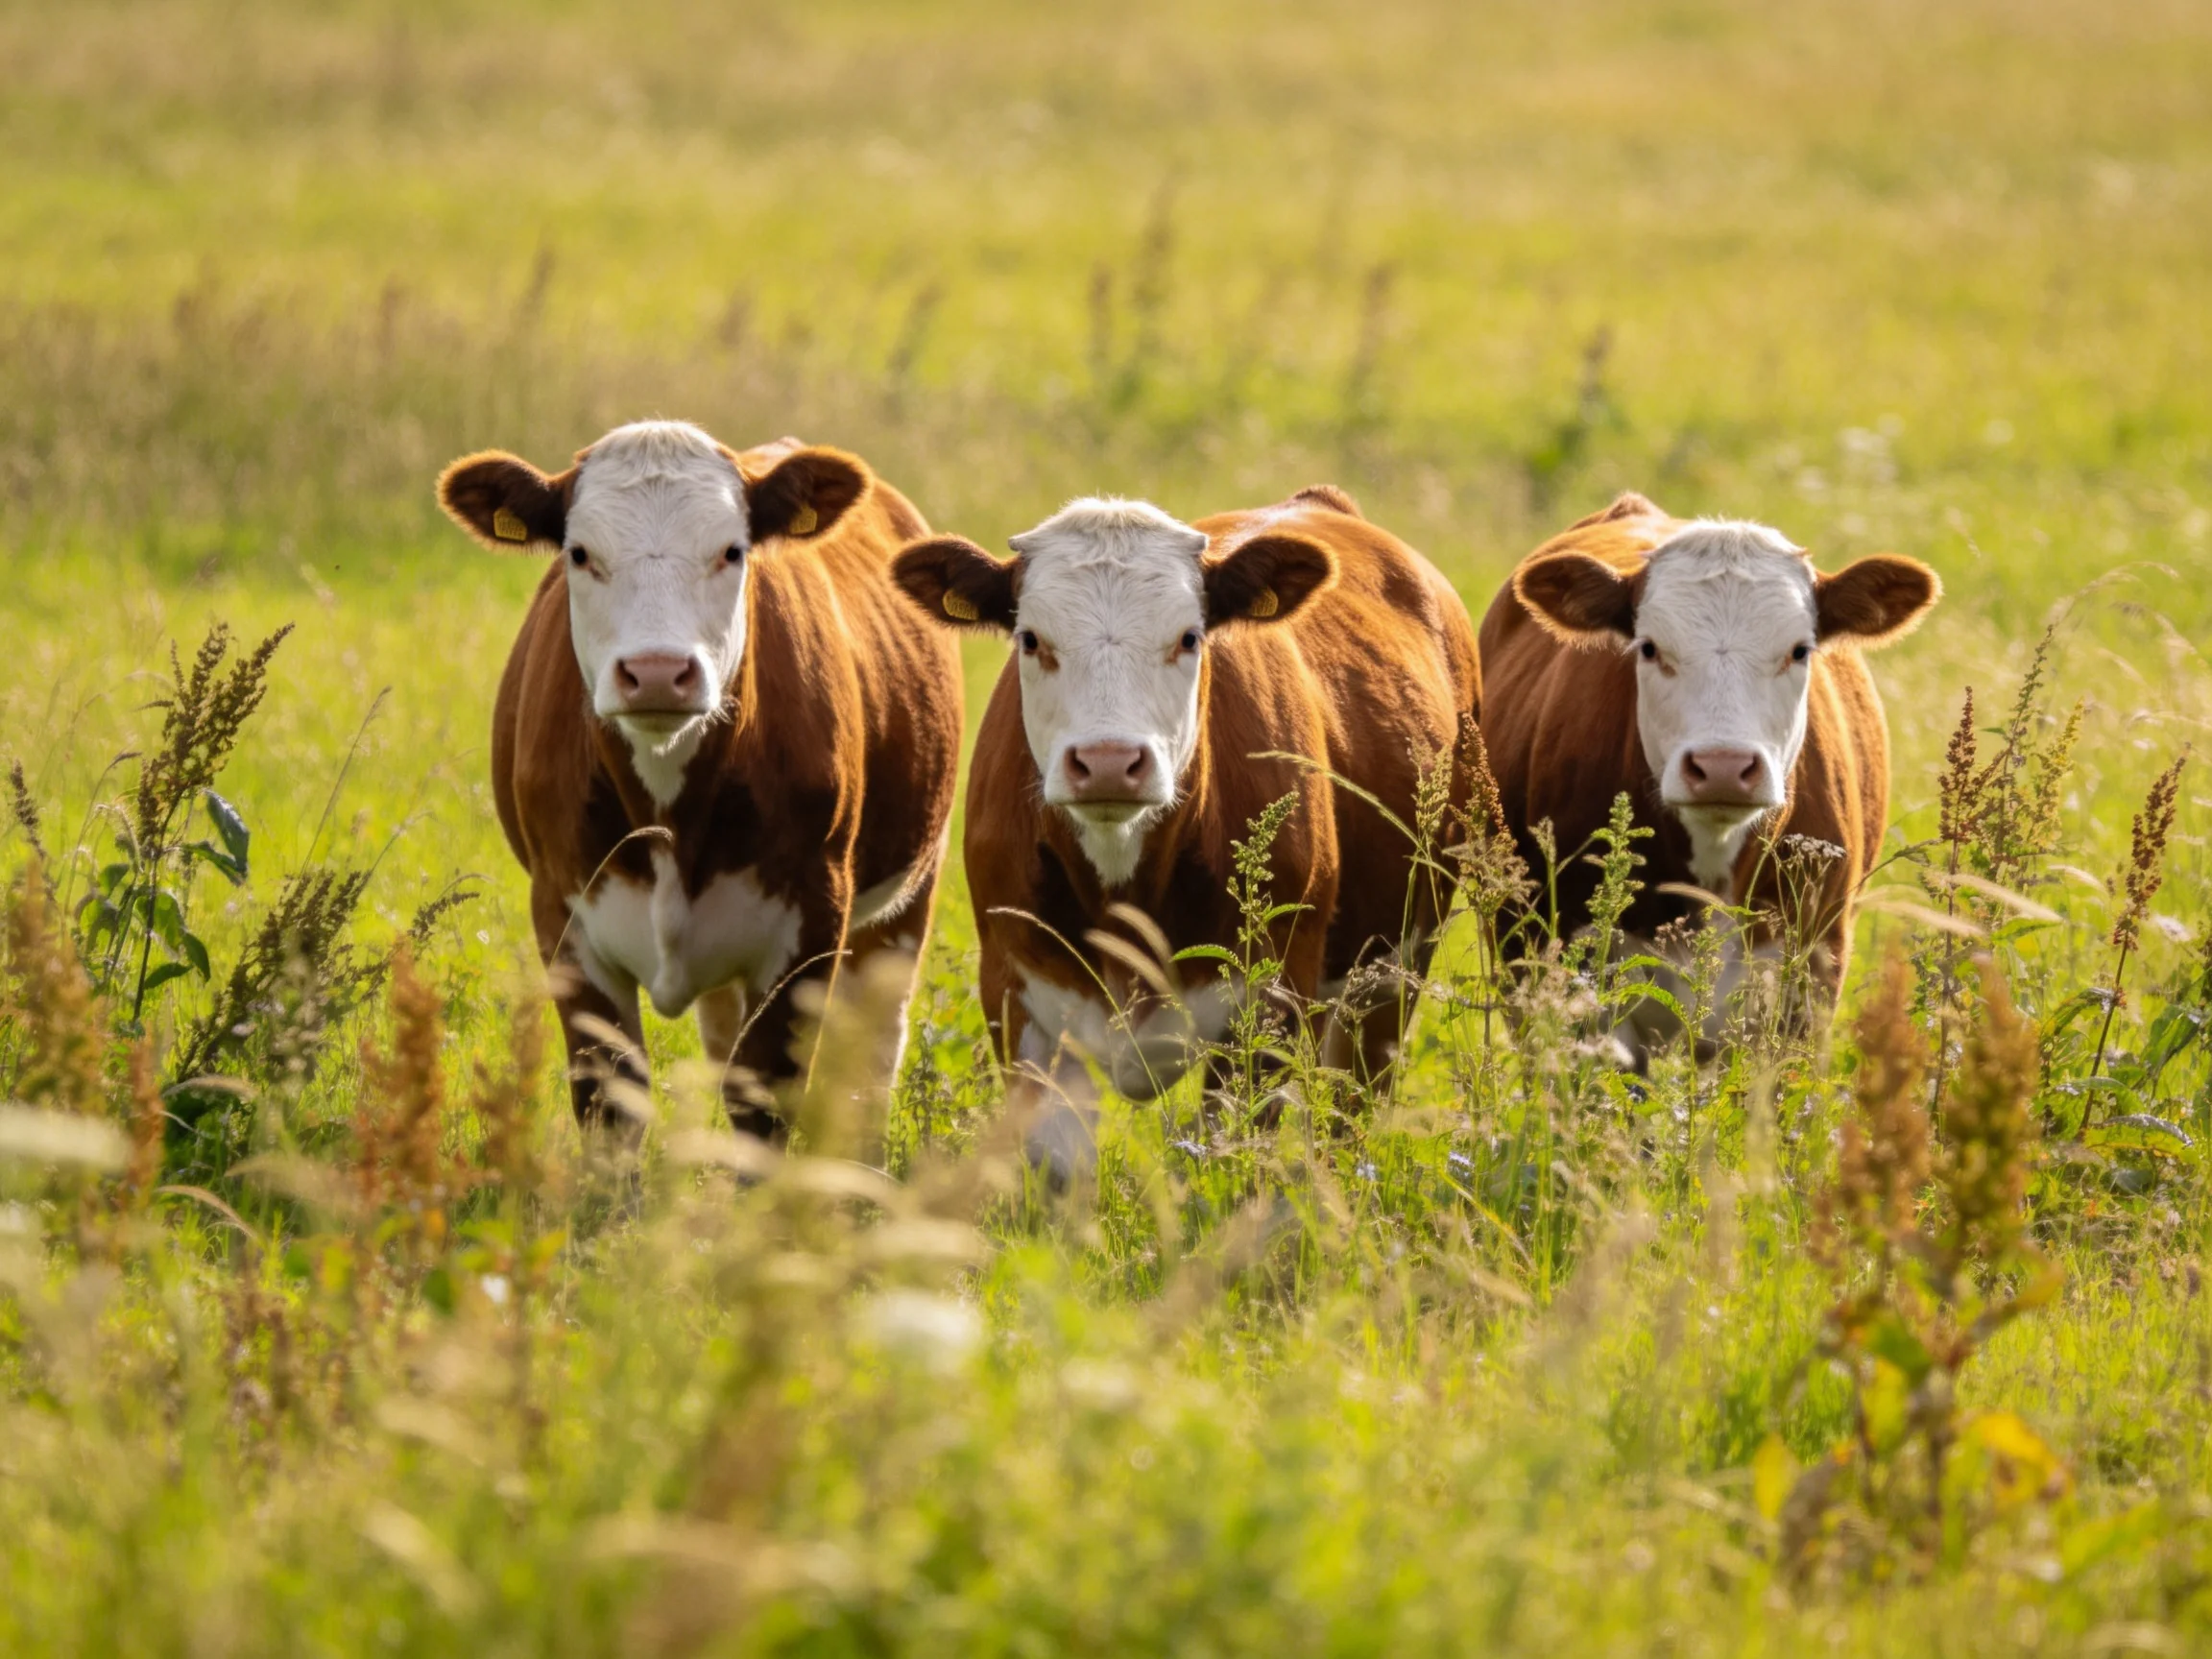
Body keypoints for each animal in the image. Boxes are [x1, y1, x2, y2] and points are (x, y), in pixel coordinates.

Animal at [436, 420, 963, 1146]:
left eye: (731, 551)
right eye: (580, 553)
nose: (657, 672)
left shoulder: (811, 918)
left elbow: (764, 1103)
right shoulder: (563, 917)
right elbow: (611, 1104)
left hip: (905, 897)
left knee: (870, 1062)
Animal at [890, 485, 1481, 1173]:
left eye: (1189, 637)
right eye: (1031, 639)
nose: (1109, 761)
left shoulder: (1270, 1004)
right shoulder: (1018, 1001)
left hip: (1391, 973)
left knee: (1348, 1112)